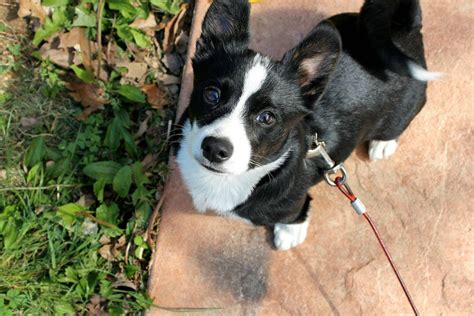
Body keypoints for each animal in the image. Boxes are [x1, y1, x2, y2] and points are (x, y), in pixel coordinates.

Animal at [175, 0, 440, 251]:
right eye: (212, 94)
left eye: (267, 117)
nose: (214, 148)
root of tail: (401, 31)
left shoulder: (294, 205)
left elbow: (294, 217)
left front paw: (288, 234)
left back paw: (383, 145)